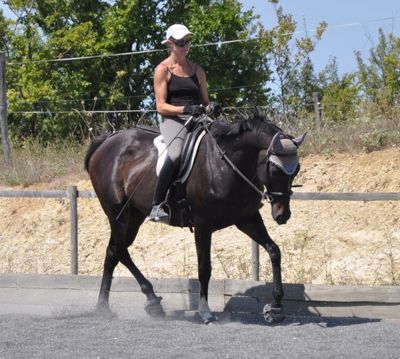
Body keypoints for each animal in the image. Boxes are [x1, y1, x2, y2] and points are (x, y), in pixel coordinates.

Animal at [83, 111, 304, 324]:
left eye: (297, 169)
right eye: (274, 168)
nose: (282, 215)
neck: (226, 165)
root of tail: (106, 141)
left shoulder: (247, 218)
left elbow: (274, 251)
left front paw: (275, 307)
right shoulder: (202, 225)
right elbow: (204, 268)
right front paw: (205, 312)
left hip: (133, 215)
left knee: (113, 252)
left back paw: (103, 308)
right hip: (117, 212)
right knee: (120, 250)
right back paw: (151, 299)